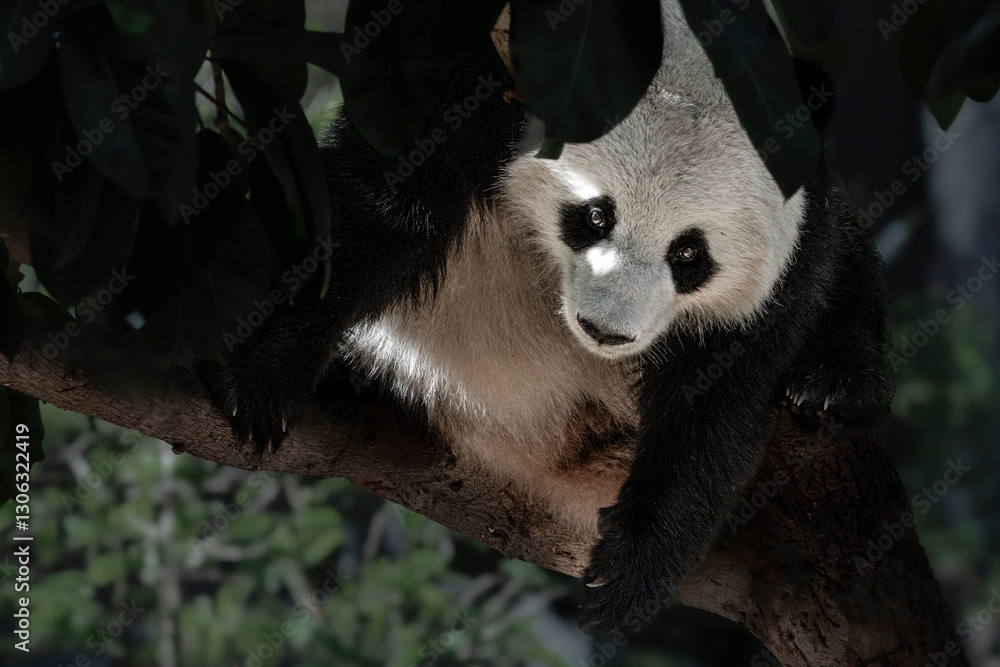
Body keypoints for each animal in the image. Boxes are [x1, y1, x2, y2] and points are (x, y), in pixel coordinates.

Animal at [200, 0, 893, 635]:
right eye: (595, 215)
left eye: (689, 253)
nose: (607, 331)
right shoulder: (475, 78)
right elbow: (380, 211)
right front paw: (263, 380)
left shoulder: (789, 231)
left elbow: (720, 393)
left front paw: (631, 573)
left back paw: (833, 382)